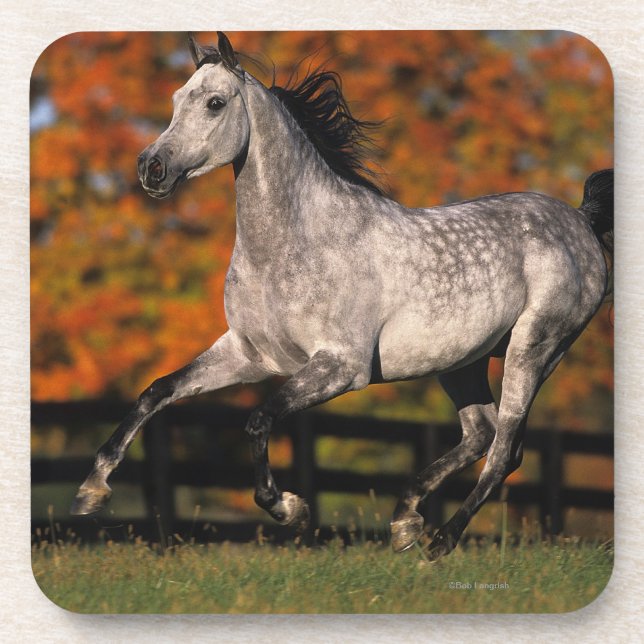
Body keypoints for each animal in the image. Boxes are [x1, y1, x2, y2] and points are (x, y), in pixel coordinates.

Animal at [71, 32, 613, 561]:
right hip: (462, 361)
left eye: (215, 103)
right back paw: (404, 521)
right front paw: (91, 492)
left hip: (534, 348)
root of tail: (579, 219)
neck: (292, 244)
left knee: (505, 449)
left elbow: (259, 419)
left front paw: (290, 509)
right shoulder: (248, 354)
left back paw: (440, 541)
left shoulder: (341, 367)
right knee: (481, 431)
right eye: (175, 99)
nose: (151, 168)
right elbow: (157, 391)